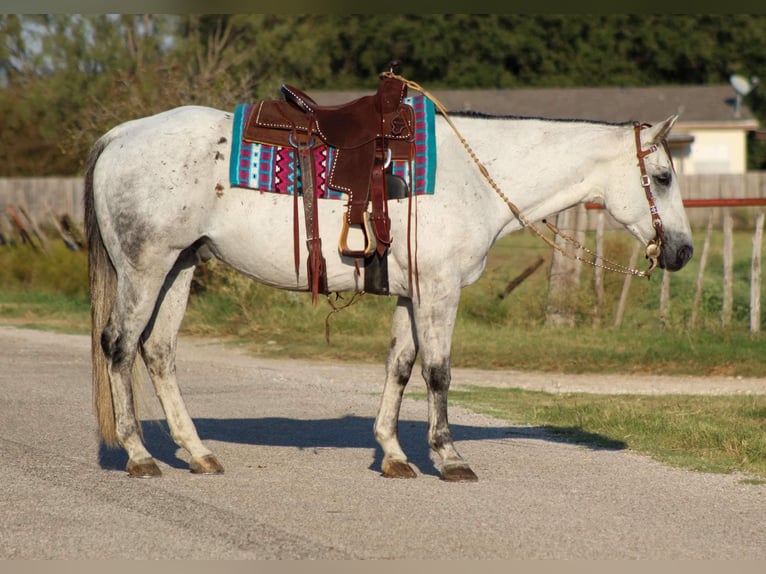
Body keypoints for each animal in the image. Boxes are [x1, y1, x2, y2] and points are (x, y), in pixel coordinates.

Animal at [84, 102, 693, 481]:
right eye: (663, 177)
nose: (683, 251)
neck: (470, 176)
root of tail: (120, 135)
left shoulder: (410, 293)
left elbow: (399, 368)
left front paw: (395, 456)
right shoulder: (439, 291)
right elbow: (438, 372)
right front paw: (449, 458)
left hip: (180, 265)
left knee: (158, 351)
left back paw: (198, 453)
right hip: (145, 266)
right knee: (119, 346)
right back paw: (139, 456)